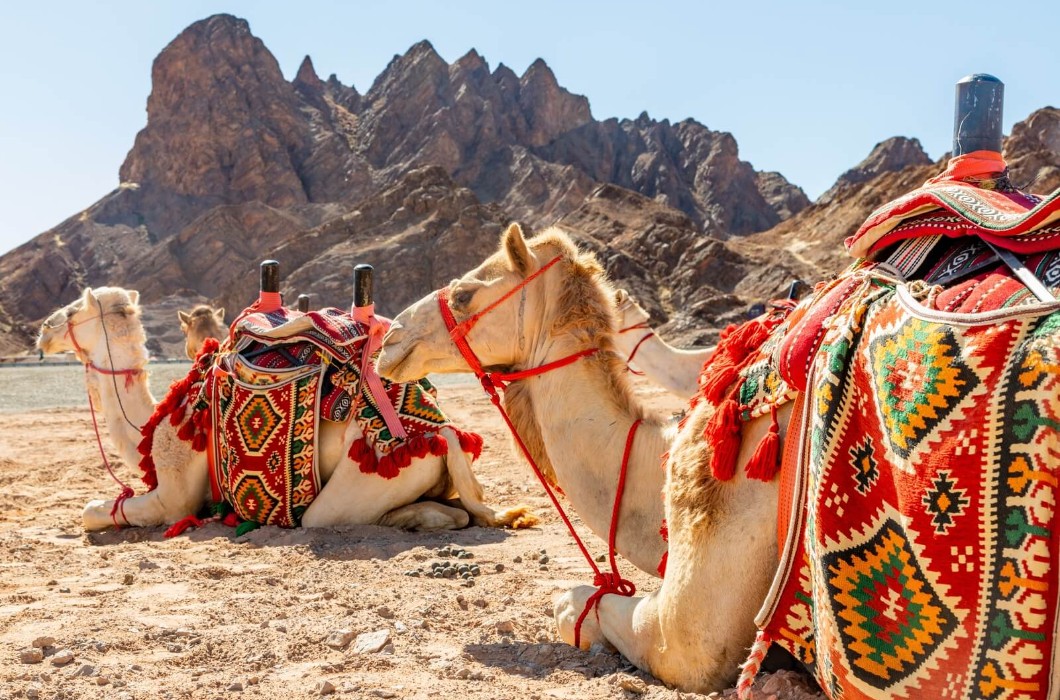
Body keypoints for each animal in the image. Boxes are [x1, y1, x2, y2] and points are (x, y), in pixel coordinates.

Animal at [37, 286, 534, 532]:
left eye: (75, 310)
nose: (42, 328)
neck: (153, 421)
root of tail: (444, 432)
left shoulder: (174, 498)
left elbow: (92, 511)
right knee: (462, 508)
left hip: (371, 473)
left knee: (330, 517)